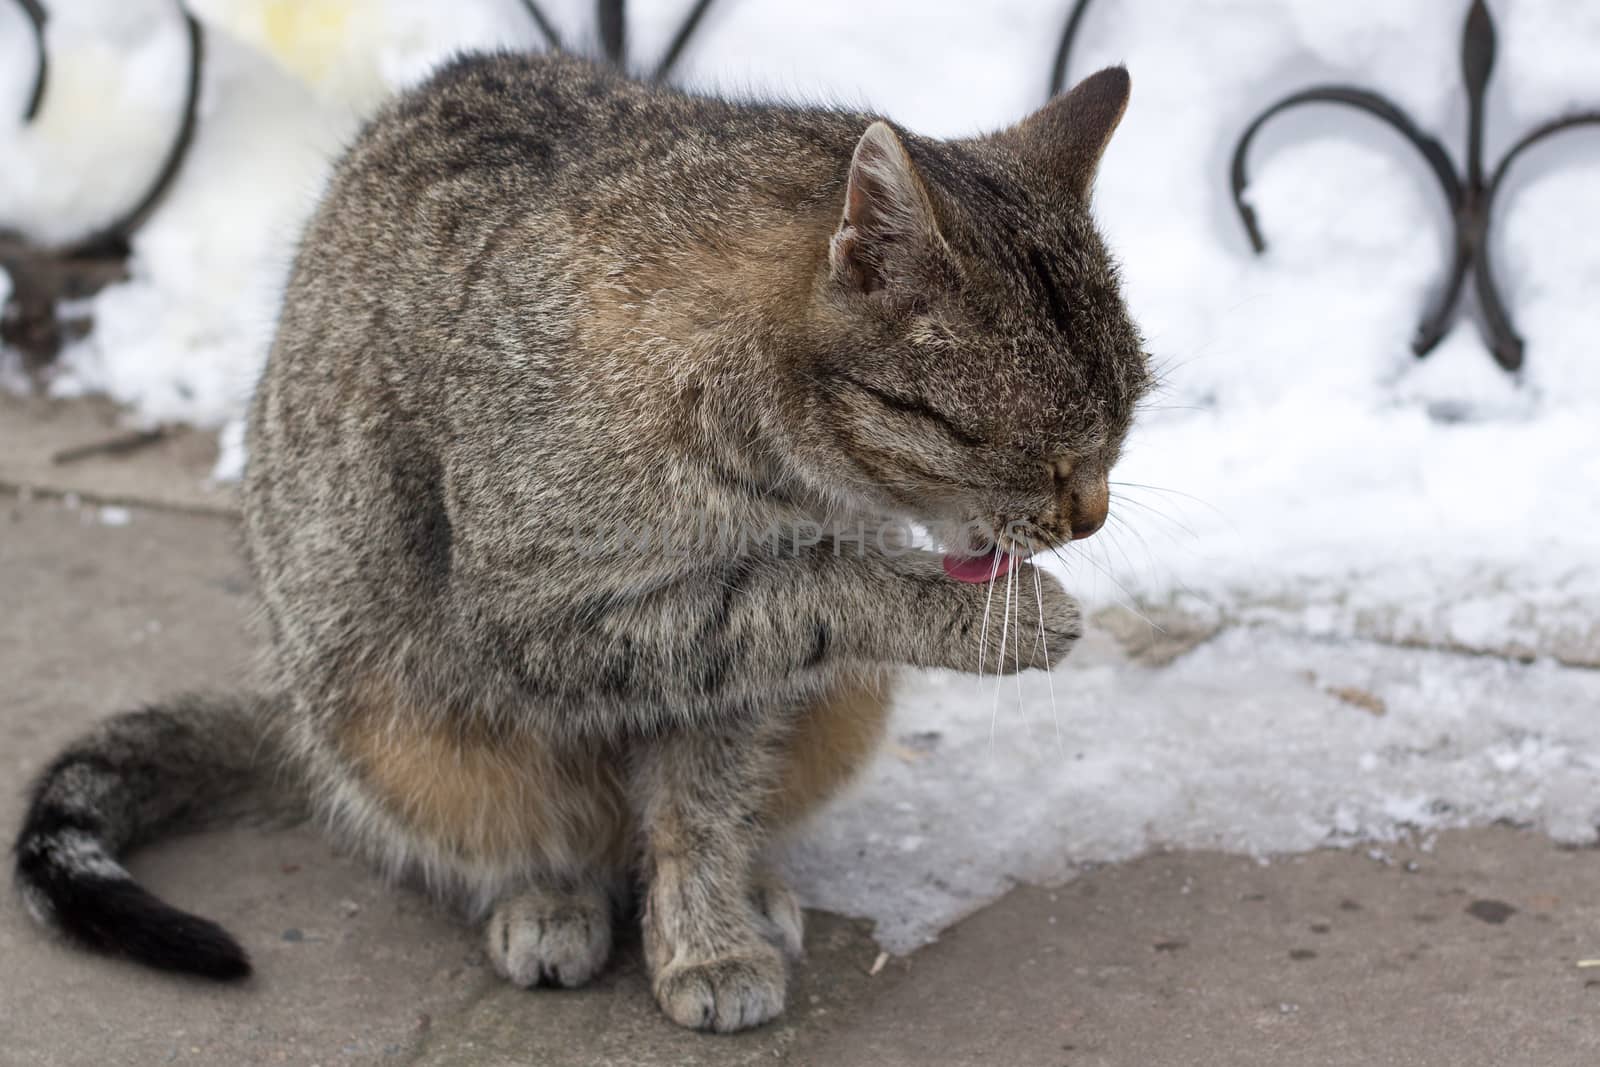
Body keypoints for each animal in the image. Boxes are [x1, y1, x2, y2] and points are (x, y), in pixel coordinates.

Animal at [9, 51, 1139, 1036]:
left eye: (1123, 421)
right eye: (1037, 451)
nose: (1091, 511)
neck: (767, 468)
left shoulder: (730, 688)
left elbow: (701, 803)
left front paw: (708, 933)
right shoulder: (528, 617)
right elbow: (815, 589)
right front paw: (973, 616)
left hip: (842, 708)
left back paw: (751, 886)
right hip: (389, 715)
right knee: (517, 823)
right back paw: (546, 896)